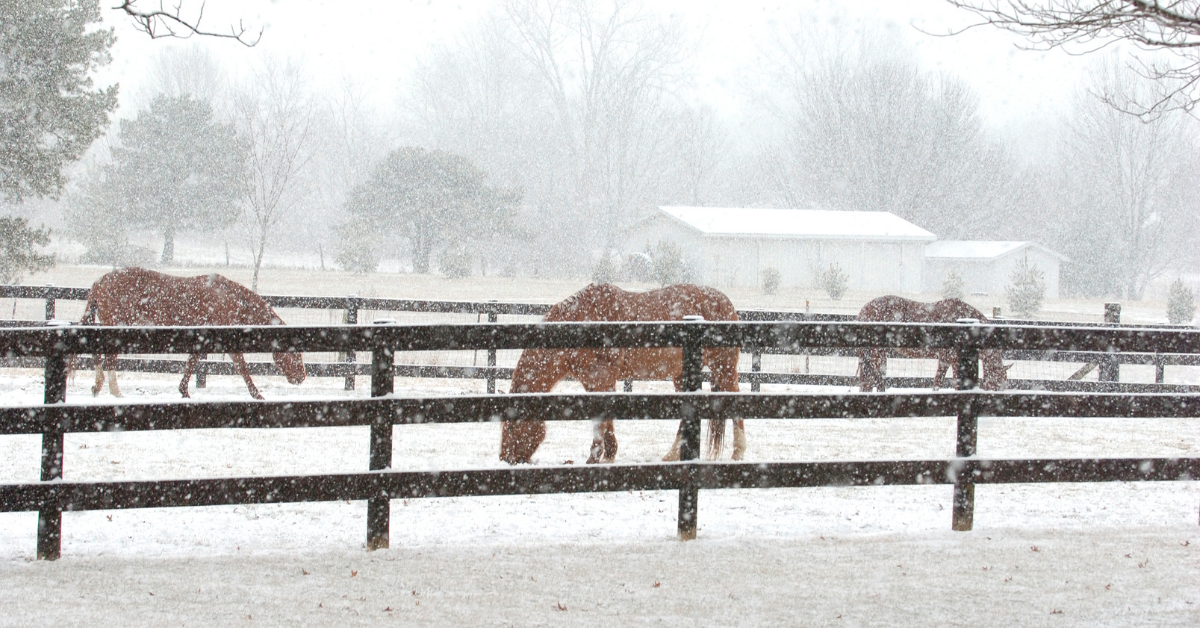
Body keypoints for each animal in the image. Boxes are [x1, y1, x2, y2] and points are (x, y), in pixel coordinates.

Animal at [79, 267, 304, 401]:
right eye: (294, 352)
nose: (301, 377)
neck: (230, 299)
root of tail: (101, 280)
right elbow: (241, 367)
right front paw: (257, 394)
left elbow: (192, 362)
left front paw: (184, 391)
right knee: (109, 358)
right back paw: (115, 392)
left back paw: (97, 387)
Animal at [494, 284, 739, 465]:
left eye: (512, 425)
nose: (505, 458)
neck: (582, 322)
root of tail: (727, 303)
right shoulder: (595, 382)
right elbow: (607, 417)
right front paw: (609, 454)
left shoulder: (601, 377)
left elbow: (600, 420)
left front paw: (593, 458)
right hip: (681, 376)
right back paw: (672, 455)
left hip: (724, 368)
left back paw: (738, 453)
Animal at [854, 296, 1012, 393]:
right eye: (998, 380)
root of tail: (864, 310)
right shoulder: (954, 359)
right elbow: (953, 381)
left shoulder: (945, 358)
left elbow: (938, 380)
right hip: (878, 350)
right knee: (875, 371)